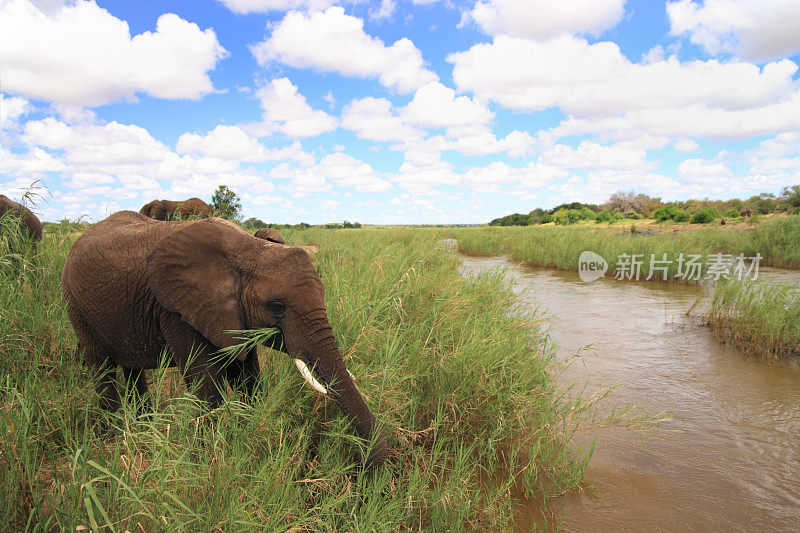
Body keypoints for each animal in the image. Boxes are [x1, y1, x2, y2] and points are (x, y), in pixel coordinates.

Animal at [62, 210, 388, 468]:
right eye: (277, 307)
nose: (360, 463)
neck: (248, 248)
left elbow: (248, 377)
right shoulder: (177, 310)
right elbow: (207, 386)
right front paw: (210, 459)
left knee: (132, 369)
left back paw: (143, 427)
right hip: (78, 306)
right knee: (101, 367)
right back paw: (113, 437)